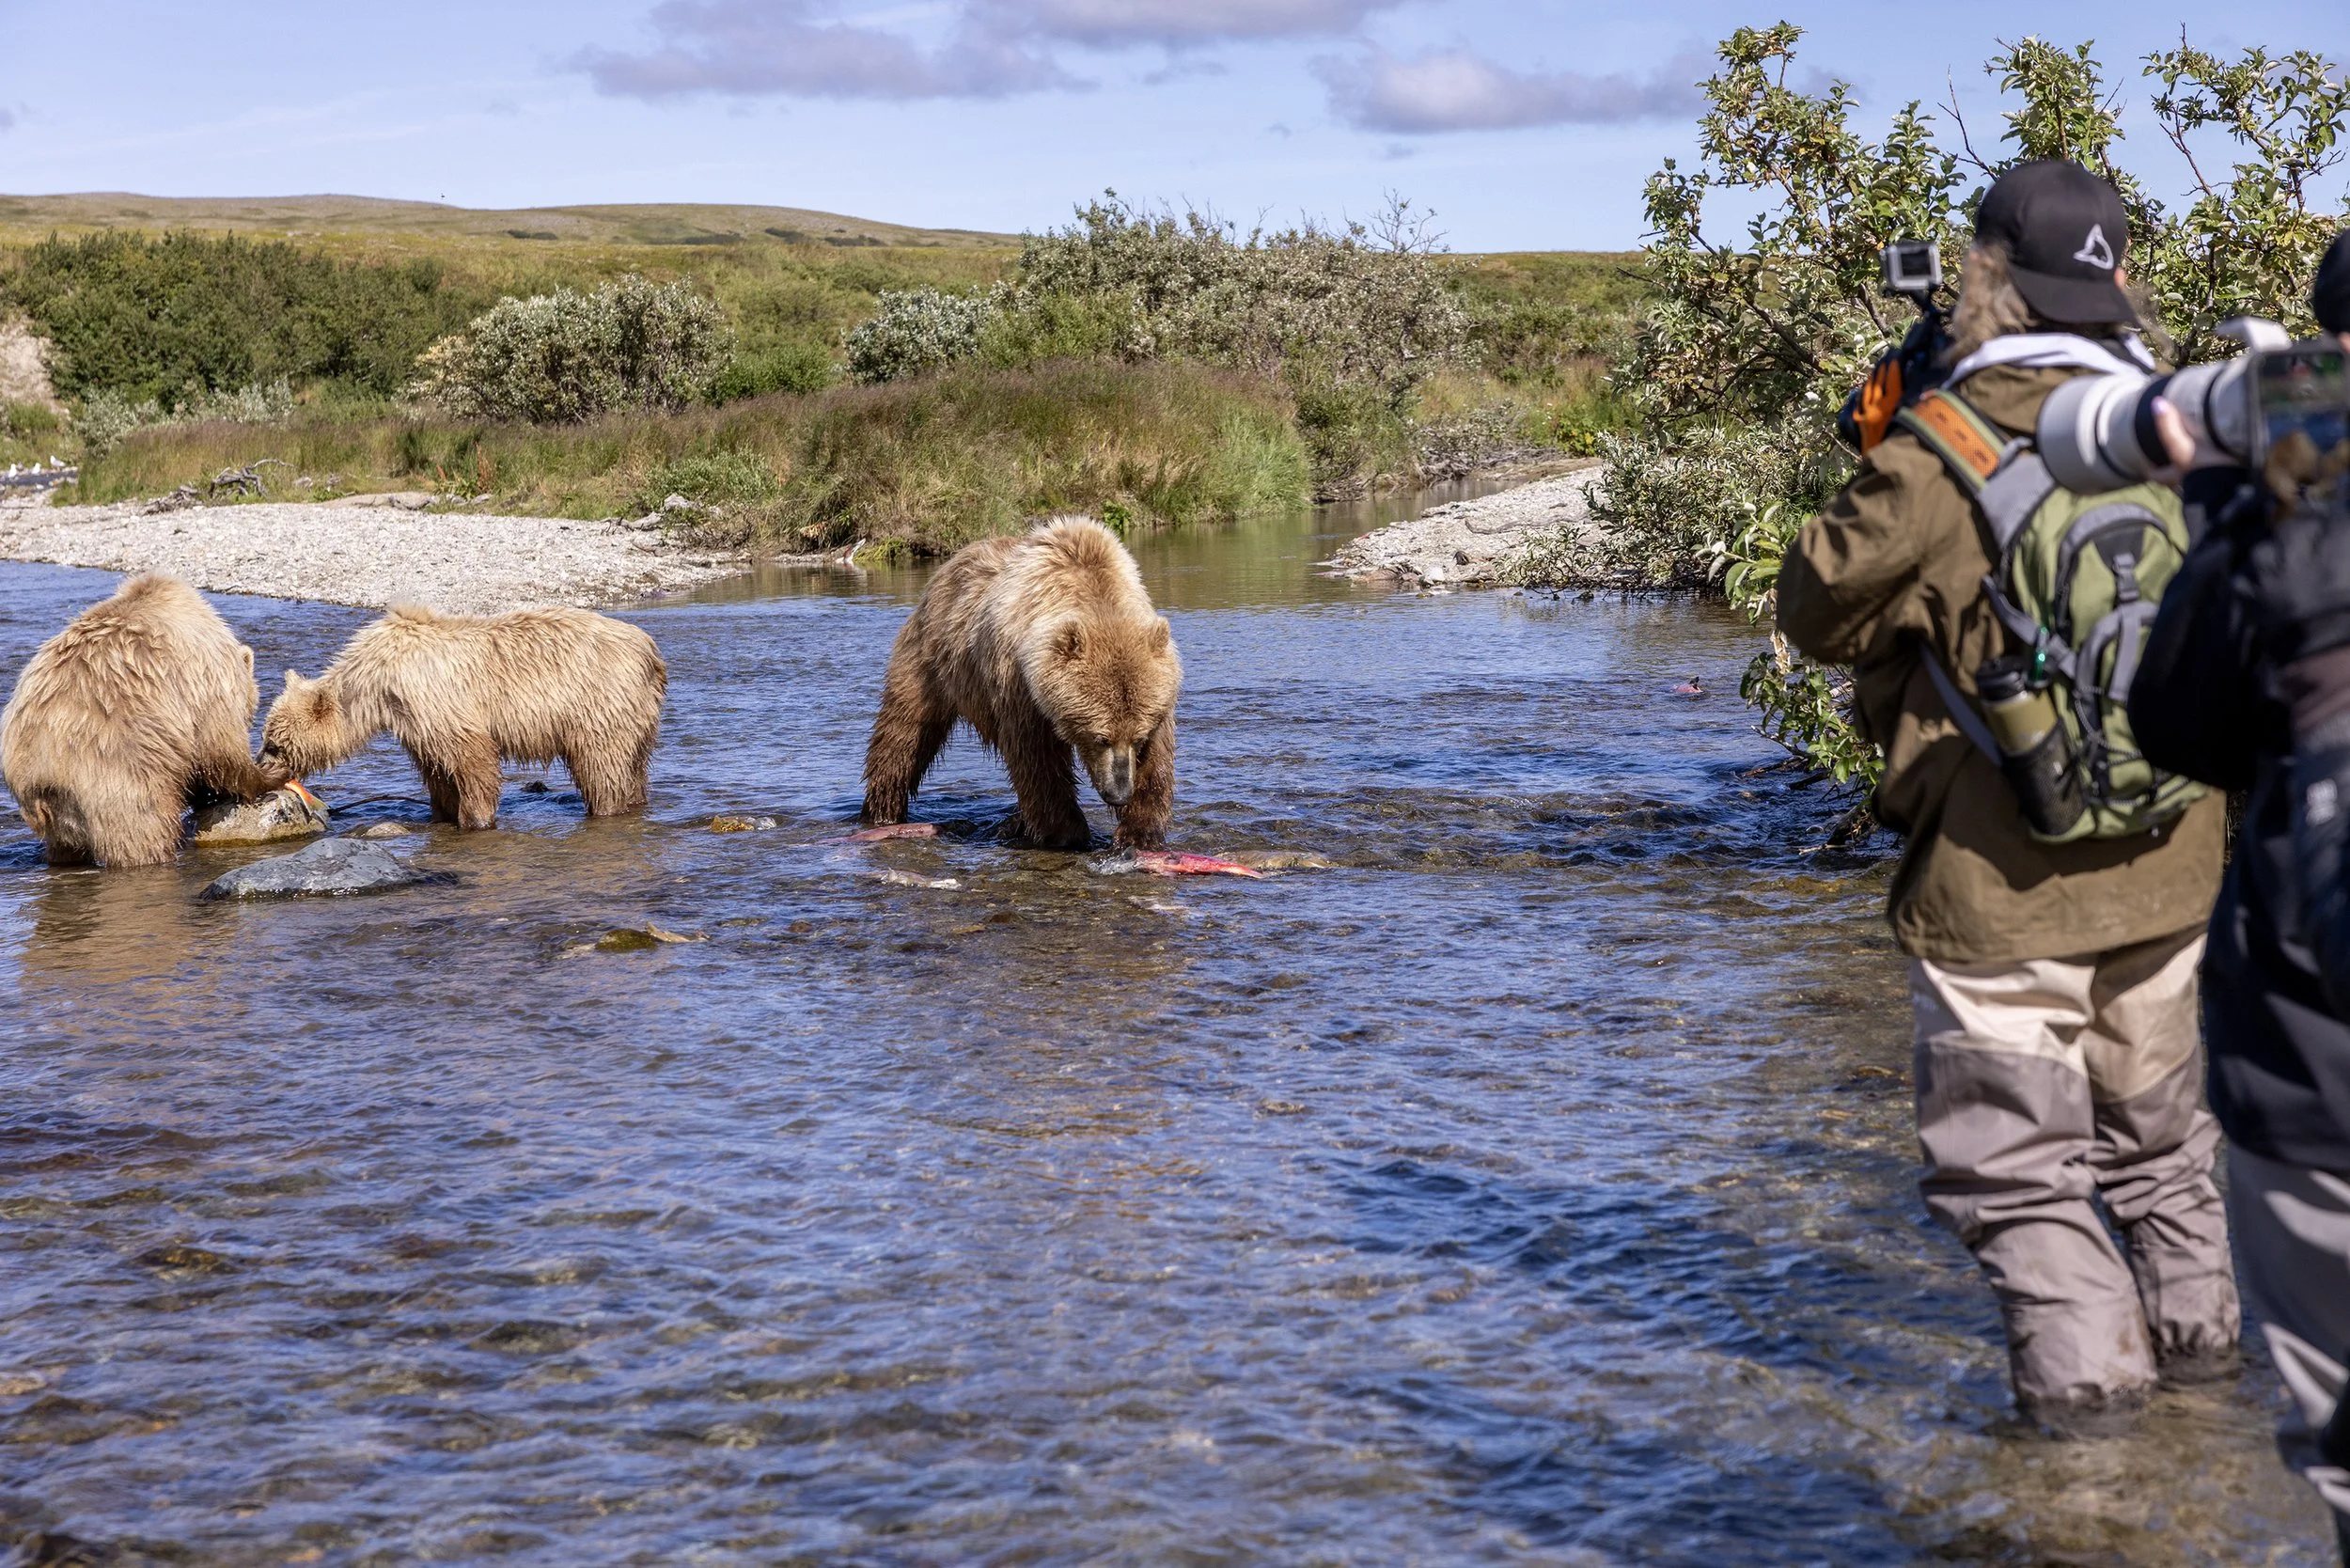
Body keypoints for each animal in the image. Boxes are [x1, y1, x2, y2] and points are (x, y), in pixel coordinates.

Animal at [1, 572, 285, 867]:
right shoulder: (205, 676)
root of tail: (42, 772)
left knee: (63, 848)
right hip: (120, 775)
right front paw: (270, 775)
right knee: (144, 832)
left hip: (53, 811)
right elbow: (218, 747)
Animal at [258, 602, 666, 830]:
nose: (259, 765)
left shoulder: (433, 696)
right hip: (639, 714)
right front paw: (442, 812)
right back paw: (635, 802)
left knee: (601, 766)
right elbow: (437, 768)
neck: (377, 684)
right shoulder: (416, 719)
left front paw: (475, 819)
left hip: (599, 703)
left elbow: (472, 757)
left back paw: (605, 809)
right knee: (634, 767)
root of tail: (649, 649)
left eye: (275, 744)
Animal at [862, 516, 1181, 850]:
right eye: (1100, 737)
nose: (1119, 794)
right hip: (930, 660)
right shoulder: (1019, 687)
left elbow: (1157, 762)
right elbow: (1037, 761)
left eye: (1138, 737)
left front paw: (1138, 833)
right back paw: (883, 809)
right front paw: (1068, 832)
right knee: (903, 733)